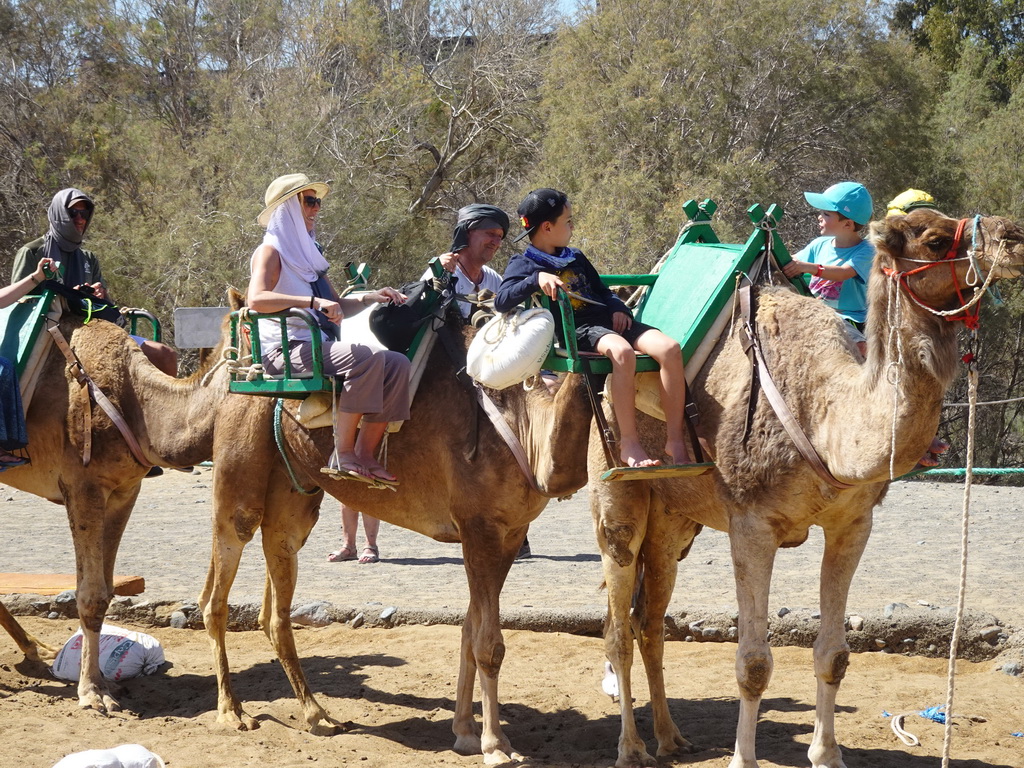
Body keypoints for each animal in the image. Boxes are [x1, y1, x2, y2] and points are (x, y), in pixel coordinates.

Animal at [0, 313, 228, 716]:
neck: (135, 403)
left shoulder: (125, 491)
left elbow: (105, 591)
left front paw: (104, 683)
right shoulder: (83, 484)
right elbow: (90, 594)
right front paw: (93, 692)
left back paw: (35, 649)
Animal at [197, 303, 593, 765]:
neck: (524, 423)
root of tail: (238, 370)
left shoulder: (511, 533)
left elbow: (469, 630)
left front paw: (464, 732)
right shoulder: (480, 528)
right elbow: (488, 644)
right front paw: (496, 745)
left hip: (293, 496)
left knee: (274, 599)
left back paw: (318, 715)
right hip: (238, 475)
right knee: (219, 588)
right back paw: (233, 712)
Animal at [589, 208, 1024, 768]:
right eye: (933, 238)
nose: (1015, 237)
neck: (826, 416)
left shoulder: (853, 523)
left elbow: (834, 654)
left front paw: (828, 753)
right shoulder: (751, 527)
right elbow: (753, 663)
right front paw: (743, 759)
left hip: (673, 520)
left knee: (650, 621)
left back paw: (671, 738)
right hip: (617, 494)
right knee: (618, 625)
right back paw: (631, 748)